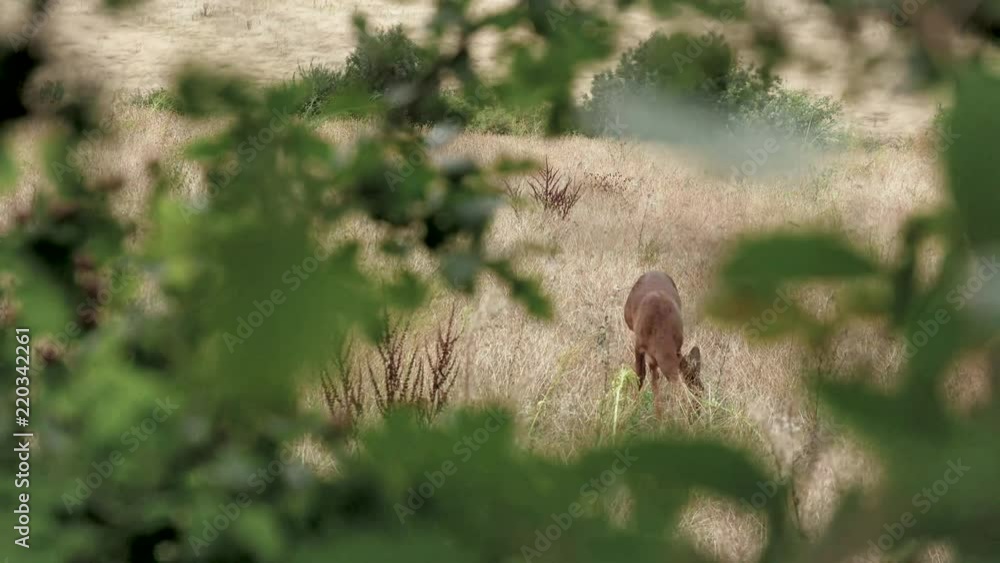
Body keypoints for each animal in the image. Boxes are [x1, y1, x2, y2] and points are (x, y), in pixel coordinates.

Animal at [624, 271, 702, 419]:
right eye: (694, 397)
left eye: (702, 388)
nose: (697, 413)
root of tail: (654, 271)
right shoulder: (639, 345)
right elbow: (640, 376)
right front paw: (633, 409)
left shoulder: (675, 348)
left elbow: (655, 382)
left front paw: (659, 418)